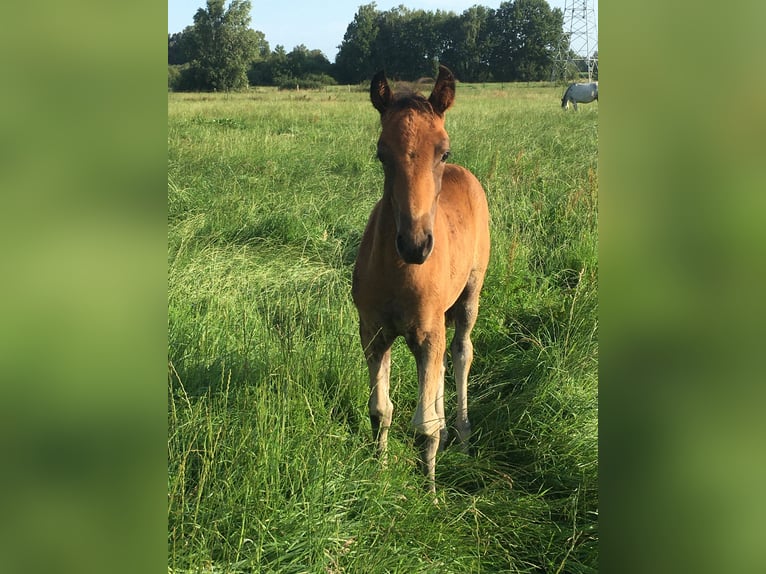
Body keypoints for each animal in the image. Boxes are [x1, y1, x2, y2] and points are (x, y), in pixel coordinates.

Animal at [354, 65, 492, 492]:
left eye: (443, 151)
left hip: (470, 294)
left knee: (461, 352)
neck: (400, 273)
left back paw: (462, 436)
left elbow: (422, 425)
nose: (415, 245)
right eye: (381, 153)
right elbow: (380, 409)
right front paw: (379, 473)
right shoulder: (373, 332)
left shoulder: (428, 334)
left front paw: (429, 493)